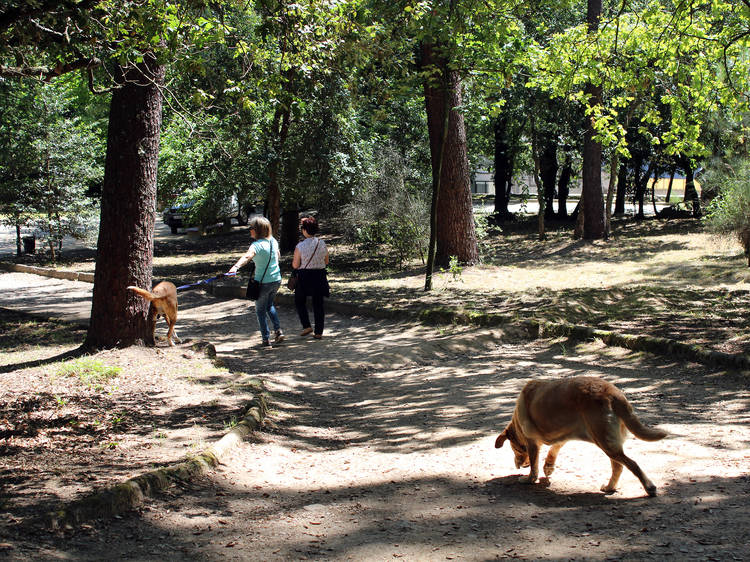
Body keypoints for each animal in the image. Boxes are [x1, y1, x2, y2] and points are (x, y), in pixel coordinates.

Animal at [496, 376, 668, 494]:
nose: (520, 465)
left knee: (632, 464)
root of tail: (614, 393)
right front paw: (549, 467)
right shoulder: (562, 437)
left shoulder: (531, 442)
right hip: (607, 442)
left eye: (515, 449)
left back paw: (649, 487)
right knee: (618, 466)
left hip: (604, 441)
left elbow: (534, 465)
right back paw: (609, 487)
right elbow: (553, 450)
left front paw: (529, 479)